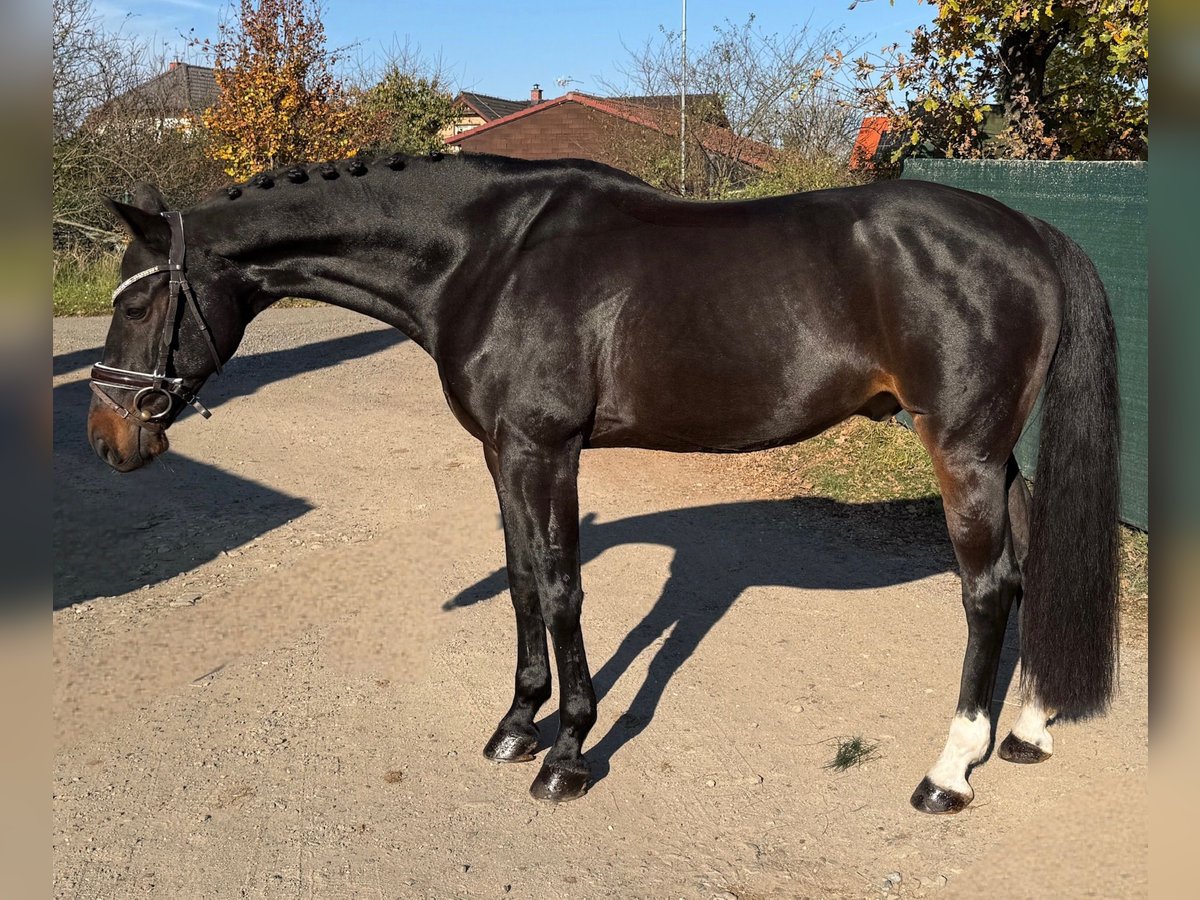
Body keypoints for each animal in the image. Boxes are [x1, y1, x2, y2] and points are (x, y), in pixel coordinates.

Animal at [87, 151, 1123, 816]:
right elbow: (520, 581)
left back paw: (949, 772)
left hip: (962, 447)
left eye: (138, 302)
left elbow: (559, 588)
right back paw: (1027, 729)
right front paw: (517, 724)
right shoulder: (504, 452)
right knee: (1030, 568)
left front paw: (568, 753)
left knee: (987, 590)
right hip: (996, 453)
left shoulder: (545, 448)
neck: (485, 254)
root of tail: (1030, 228)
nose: (108, 438)